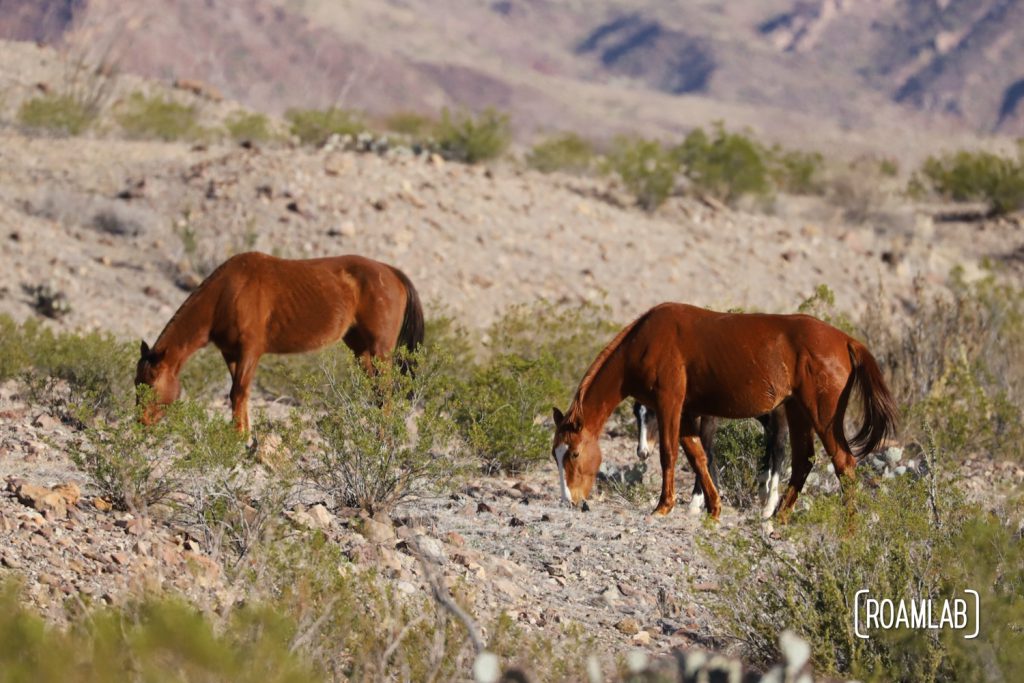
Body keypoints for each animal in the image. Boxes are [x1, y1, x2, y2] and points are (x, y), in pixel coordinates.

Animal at [136, 250, 423, 432]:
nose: (141, 422)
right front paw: (244, 435)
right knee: (377, 393)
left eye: (151, 384)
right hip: (360, 349)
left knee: (386, 392)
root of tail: (391, 272)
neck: (227, 294)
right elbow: (239, 394)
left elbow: (238, 392)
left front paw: (238, 437)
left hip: (379, 350)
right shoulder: (231, 354)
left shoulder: (250, 351)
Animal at [630, 401, 790, 518]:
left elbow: (704, 451)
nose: (642, 451)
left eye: (654, 411)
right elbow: (703, 453)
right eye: (636, 412)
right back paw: (763, 487)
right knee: (770, 433)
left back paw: (769, 506)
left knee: (779, 442)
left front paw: (695, 503)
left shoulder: (708, 417)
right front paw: (712, 498)